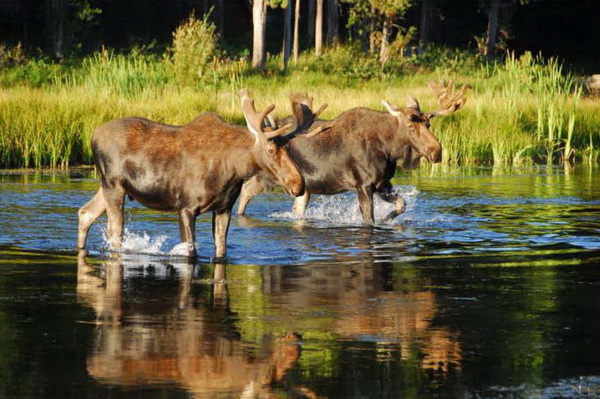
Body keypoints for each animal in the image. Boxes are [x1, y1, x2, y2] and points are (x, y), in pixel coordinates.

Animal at [78, 90, 328, 260]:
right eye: (270, 149)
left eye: (288, 148)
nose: (298, 184)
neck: (234, 169)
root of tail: (92, 137)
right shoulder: (186, 207)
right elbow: (191, 251)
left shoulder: (223, 208)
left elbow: (221, 250)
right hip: (113, 187)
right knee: (114, 232)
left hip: (108, 187)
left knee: (85, 213)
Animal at [236, 81, 468, 225]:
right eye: (411, 127)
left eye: (429, 124)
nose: (436, 151)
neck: (389, 149)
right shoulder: (363, 184)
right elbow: (368, 219)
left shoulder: (382, 183)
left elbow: (401, 205)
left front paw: (388, 218)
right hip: (269, 176)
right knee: (246, 190)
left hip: (304, 187)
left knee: (296, 208)